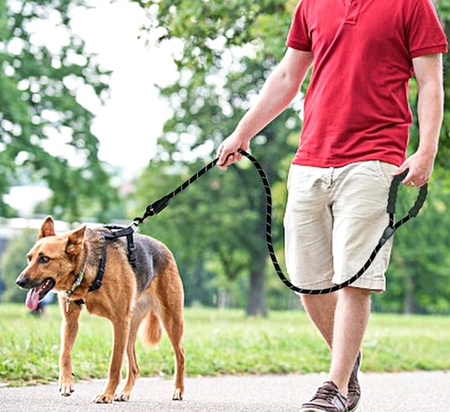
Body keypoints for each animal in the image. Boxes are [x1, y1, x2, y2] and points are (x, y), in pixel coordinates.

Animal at [15, 217, 185, 404]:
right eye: (29, 258)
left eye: (44, 259)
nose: (19, 282)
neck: (86, 270)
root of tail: (164, 247)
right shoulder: (70, 321)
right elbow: (64, 353)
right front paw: (66, 383)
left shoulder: (119, 321)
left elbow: (114, 365)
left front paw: (106, 394)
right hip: (130, 330)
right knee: (134, 366)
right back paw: (125, 392)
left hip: (170, 320)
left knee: (180, 355)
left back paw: (178, 390)